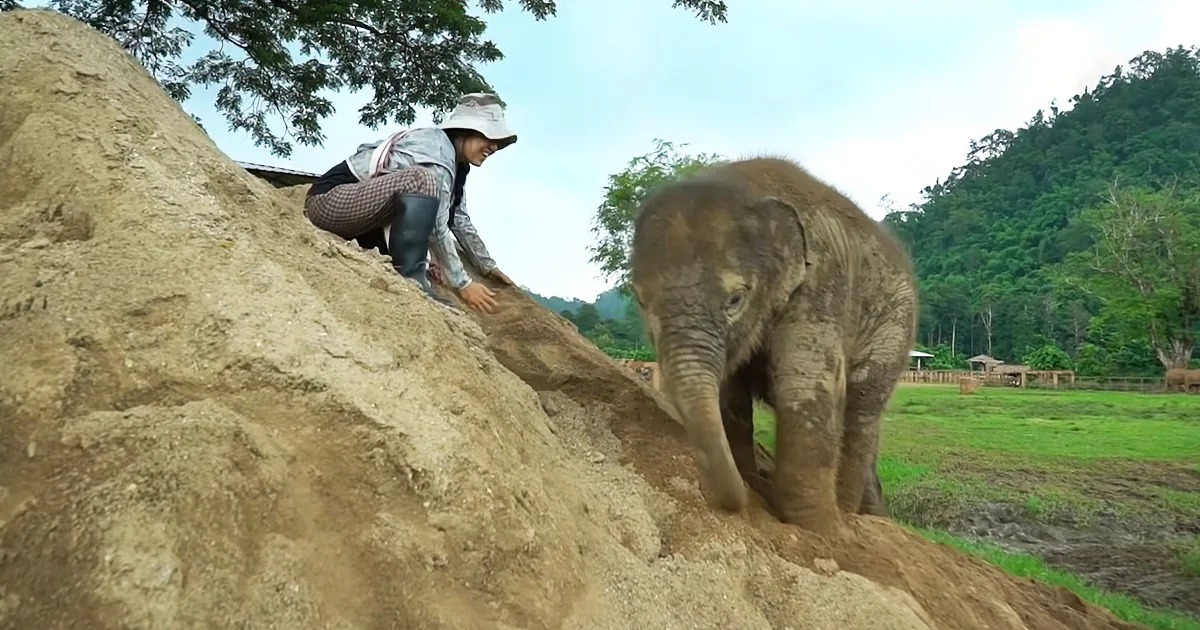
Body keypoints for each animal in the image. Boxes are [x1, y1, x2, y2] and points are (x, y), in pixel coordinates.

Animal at [627, 157, 917, 538]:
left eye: (735, 299)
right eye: (641, 300)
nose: (736, 502)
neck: (747, 184)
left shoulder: (821, 282)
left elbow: (804, 384)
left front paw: (821, 531)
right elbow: (730, 395)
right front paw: (752, 484)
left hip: (894, 326)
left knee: (862, 410)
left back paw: (849, 516)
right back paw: (873, 515)